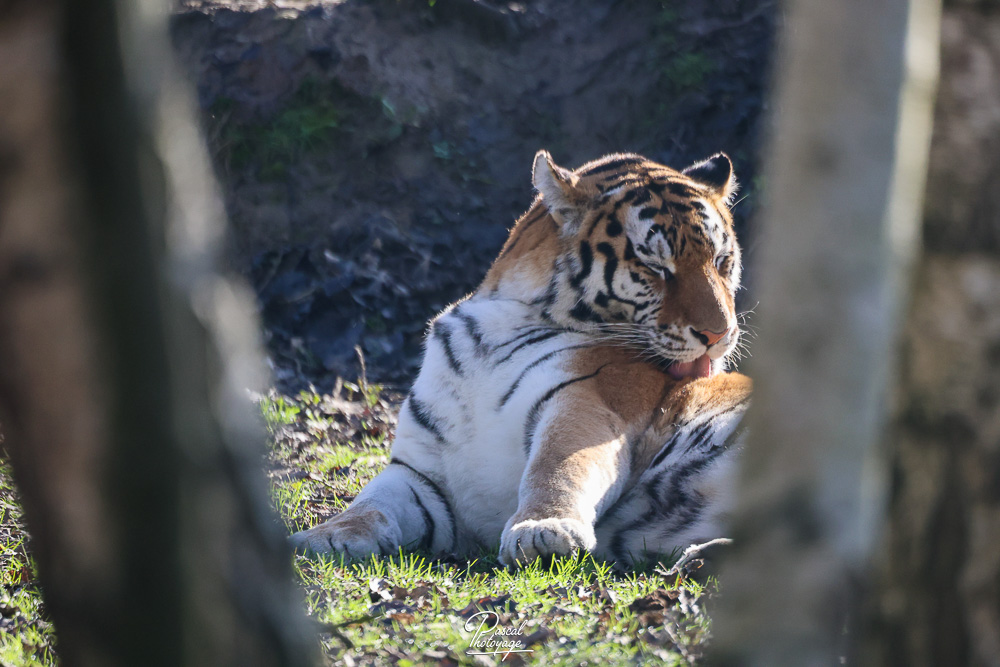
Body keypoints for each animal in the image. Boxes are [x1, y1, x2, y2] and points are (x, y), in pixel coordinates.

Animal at [289, 150, 752, 567]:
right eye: (655, 267)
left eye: (721, 261)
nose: (719, 334)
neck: (500, 321)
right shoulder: (421, 471)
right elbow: (370, 502)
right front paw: (323, 536)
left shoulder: (588, 400)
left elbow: (559, 465)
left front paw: (543, 531)